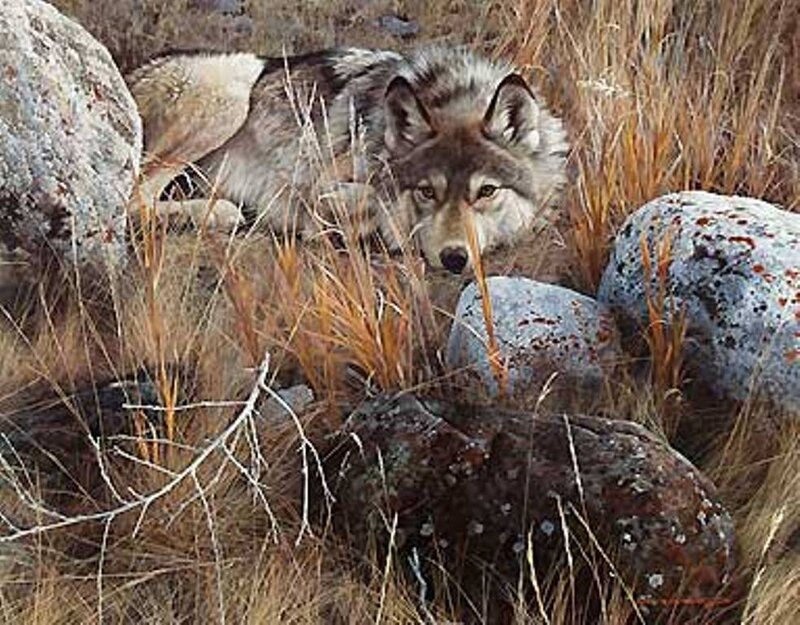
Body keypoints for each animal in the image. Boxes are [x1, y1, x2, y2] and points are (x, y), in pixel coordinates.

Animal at [127, 47, 569, 273]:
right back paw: (221, 212)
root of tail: (132, 72)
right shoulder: (318, 187)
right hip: (233, 85)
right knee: (134, 200)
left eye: (487, 191)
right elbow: (370, 204)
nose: (455, 259)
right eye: (427, 192)